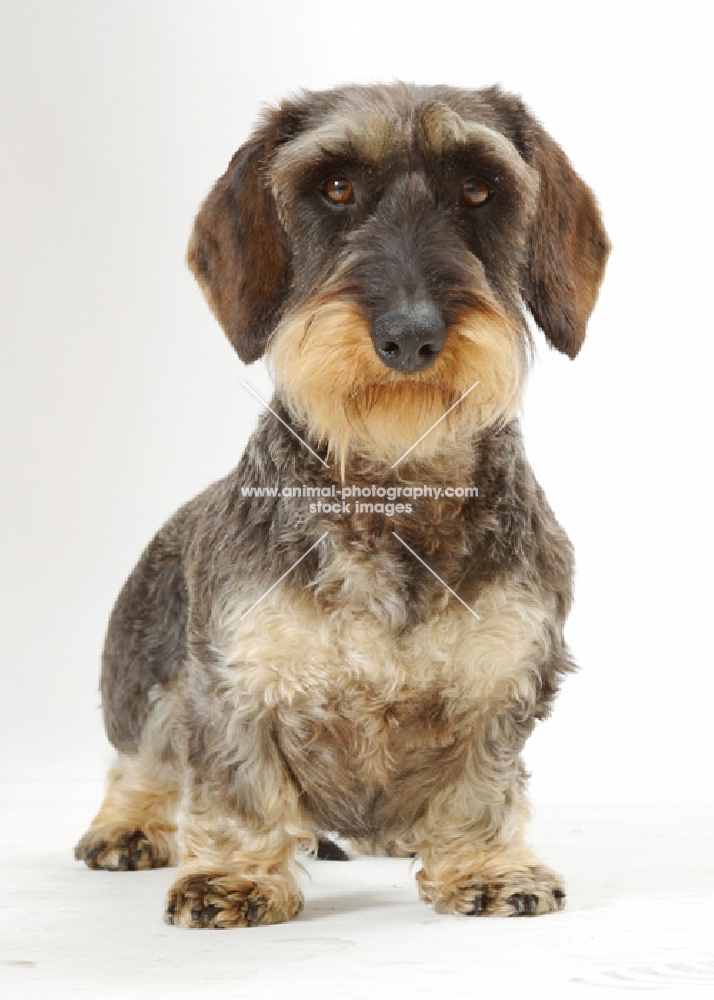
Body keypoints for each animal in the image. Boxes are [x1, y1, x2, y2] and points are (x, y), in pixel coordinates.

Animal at [75, 82, 608, 924]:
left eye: (478, 188)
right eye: (335, 186)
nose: (410, 335)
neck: (394, 492)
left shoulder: (504, 677)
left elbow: (479, 784)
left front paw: (486, 865)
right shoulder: (233, 679)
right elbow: (241, 786)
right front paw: (236, 875)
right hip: (142, 681)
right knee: (142, 760)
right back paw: (127, 825)